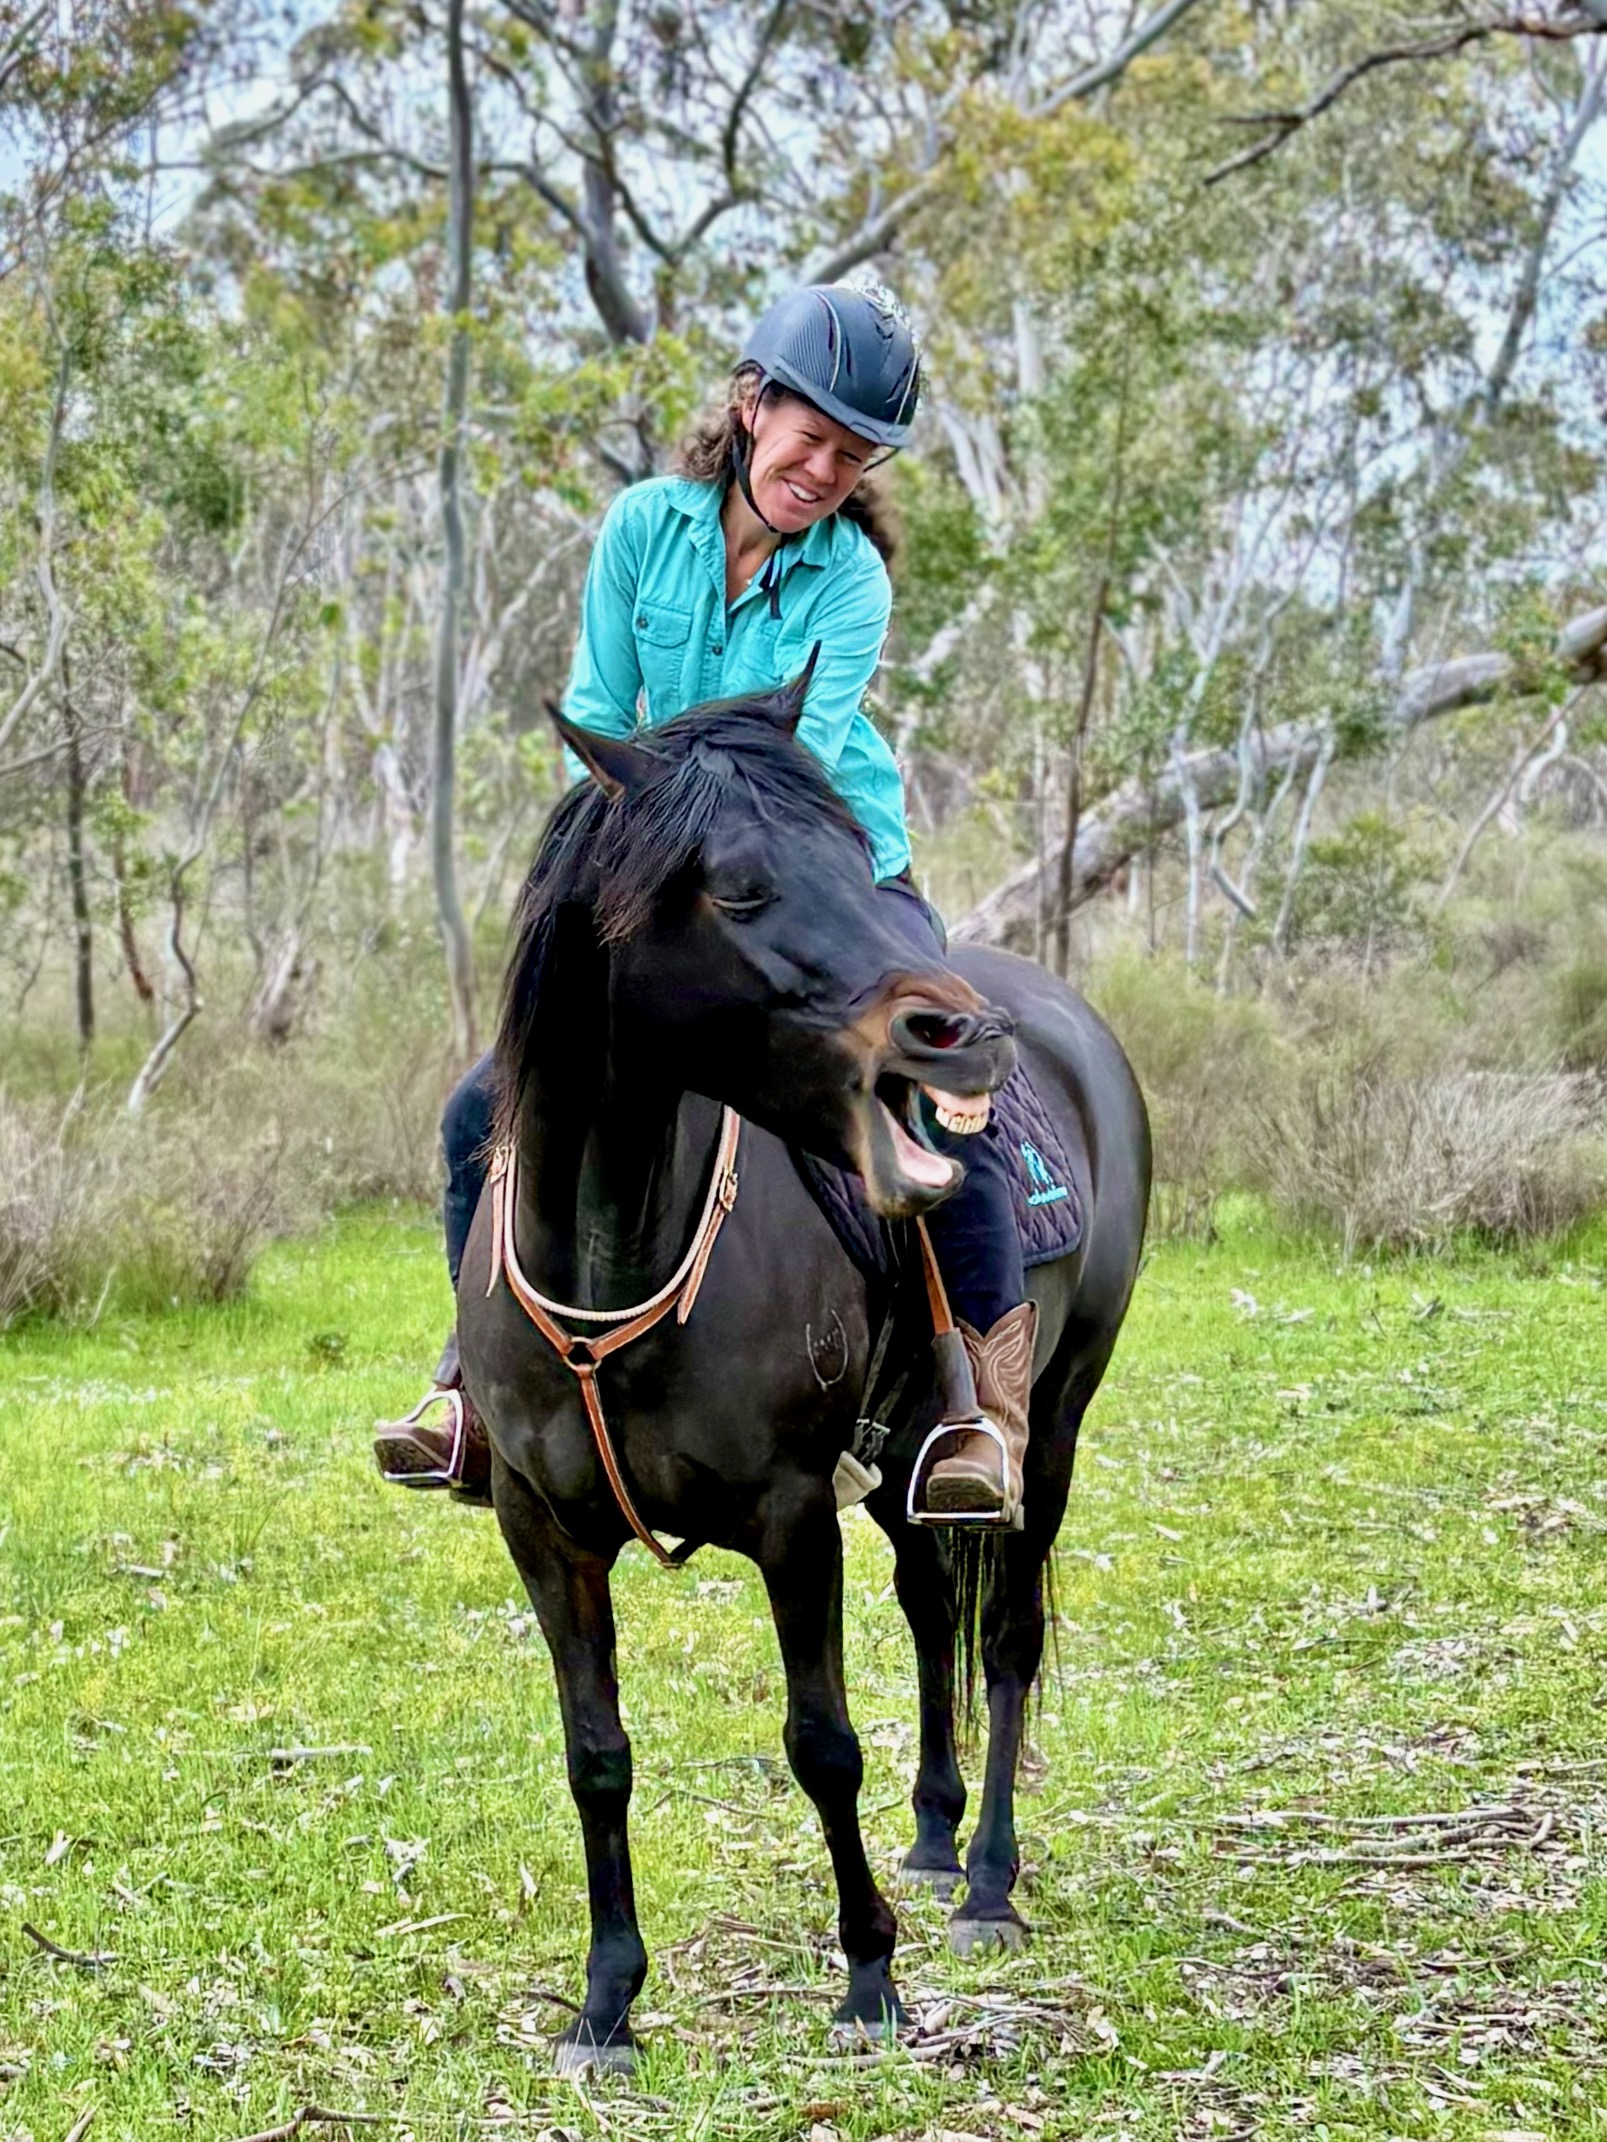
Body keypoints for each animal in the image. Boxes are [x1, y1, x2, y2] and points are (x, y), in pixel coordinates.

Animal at [455, 667, 1150, 2074]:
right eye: (735, 887)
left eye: (854, 857)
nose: (960, 1034)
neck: (614, 1264)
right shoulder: (536, 1526)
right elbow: (594, 1754)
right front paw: (606, 2002)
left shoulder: (787, 1516)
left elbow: (821, 1744)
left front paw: (870, 1979)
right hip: (901, 1459)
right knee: (933, 1607)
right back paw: (934, 1838)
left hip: (1050, 1428)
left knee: (1004, 1636)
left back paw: (985, 1883)